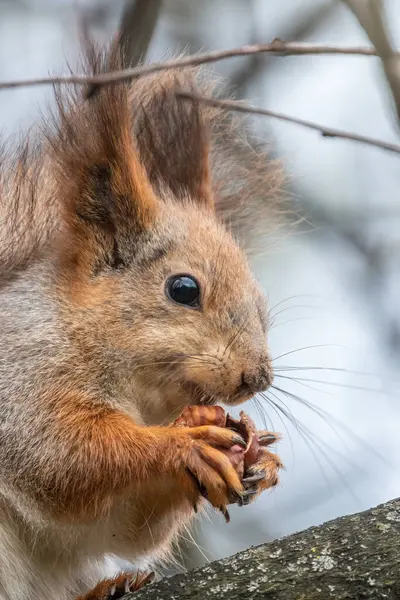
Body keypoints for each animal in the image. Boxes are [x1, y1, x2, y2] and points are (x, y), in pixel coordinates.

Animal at [0, 38, 282, 600]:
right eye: (183, 289)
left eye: (262, 304)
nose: (257, 378)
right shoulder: (21, 377)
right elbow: (57, 452)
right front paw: (182, 442)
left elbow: (124, 527)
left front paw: (260, 458)